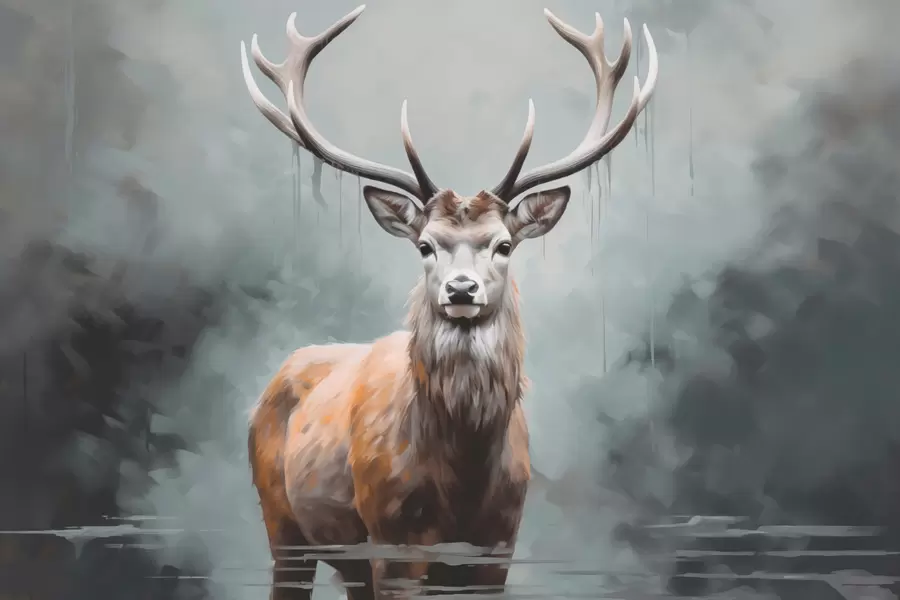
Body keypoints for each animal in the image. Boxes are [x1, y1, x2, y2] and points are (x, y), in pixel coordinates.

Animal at [239, 5, 657, 599]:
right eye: (425, 246)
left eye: (503, 245)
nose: (461, 290)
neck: (463, 474)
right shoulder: (393, 539)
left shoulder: (500, 541)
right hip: (282, 524)